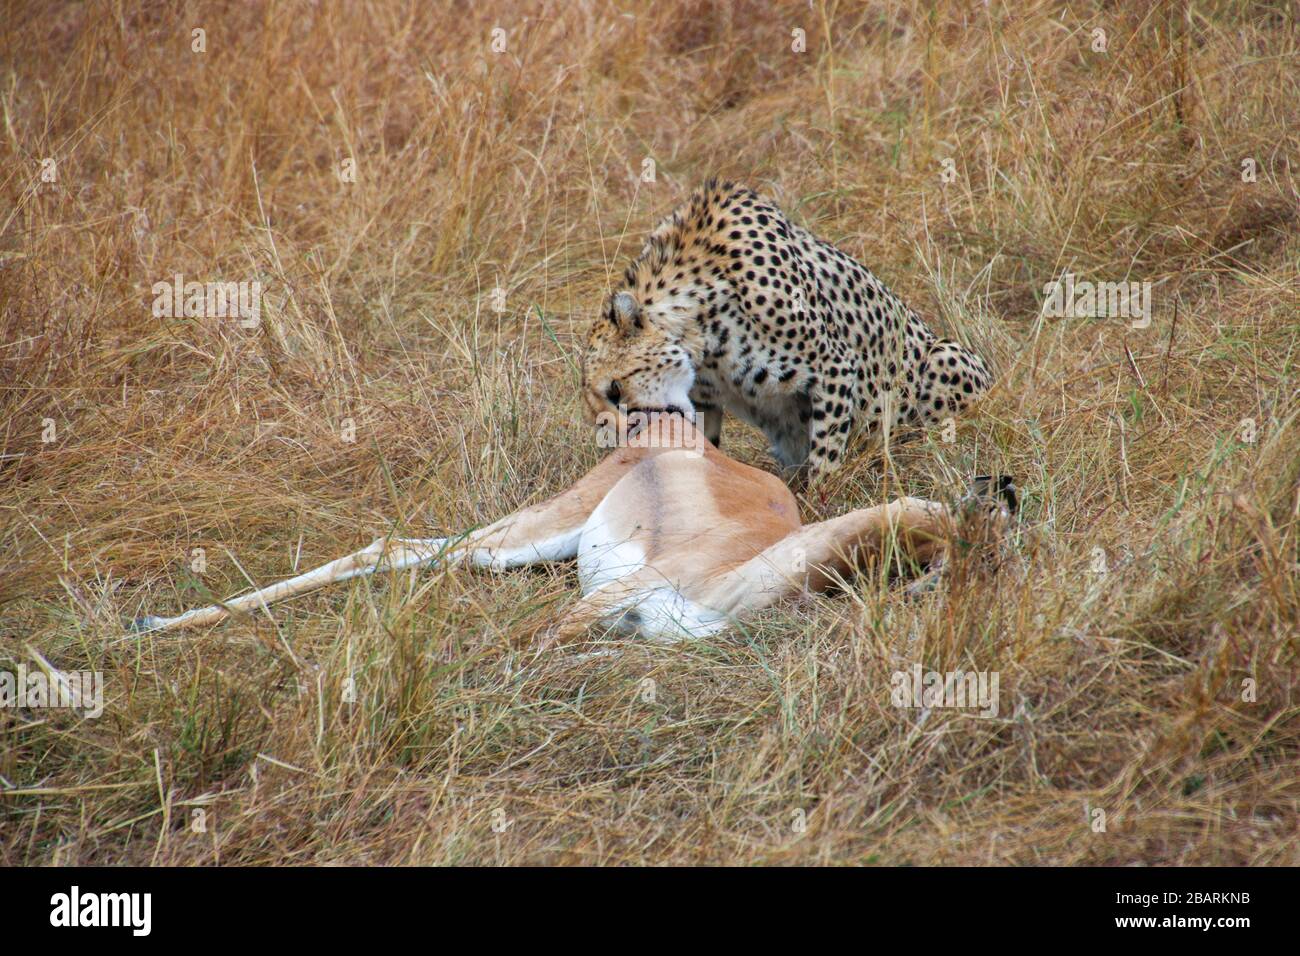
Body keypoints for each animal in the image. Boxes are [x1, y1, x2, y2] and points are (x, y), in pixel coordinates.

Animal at [579, 178, 982, 476]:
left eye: (616, 389)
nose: (625, 440)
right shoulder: (705, 402)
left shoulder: (835, 368)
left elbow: (825, 458)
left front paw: (821, 507)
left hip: (946, 356)